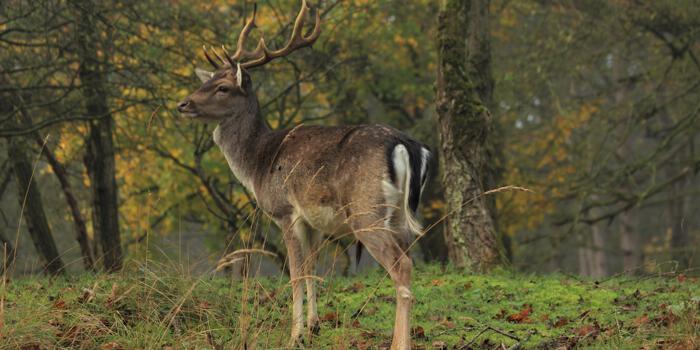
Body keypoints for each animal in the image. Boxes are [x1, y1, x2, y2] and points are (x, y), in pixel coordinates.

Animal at [178, 2, 430, 348]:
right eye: (207, 81)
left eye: (222, 88)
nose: (183, 104)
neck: (258, 163)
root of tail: (406, 145)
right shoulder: (314, 222)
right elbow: (312, 268)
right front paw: (313, 327)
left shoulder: (285, 211)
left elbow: (295, 273)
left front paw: (294, 334)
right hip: (400, 218)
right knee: (410, 261)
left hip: (366, 211)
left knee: (401, 265)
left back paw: (398, 343)